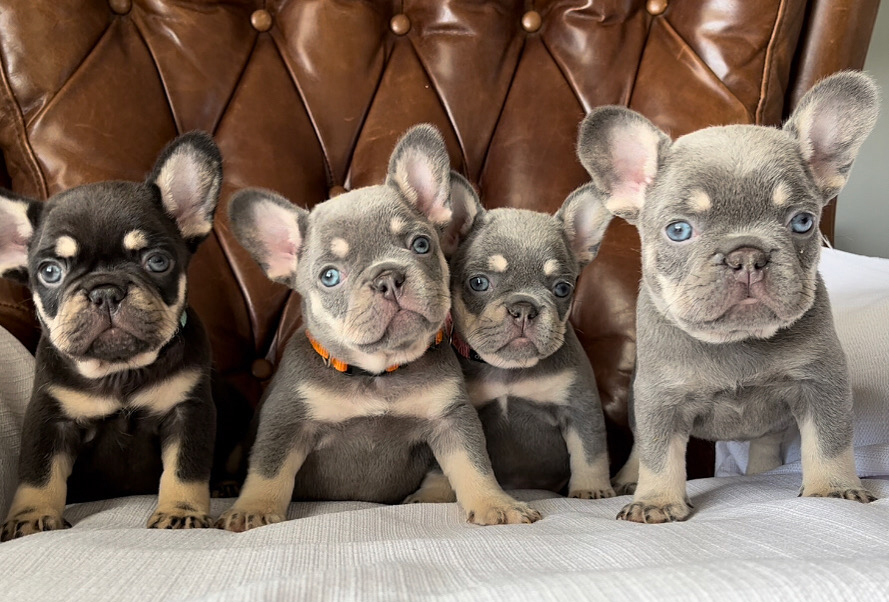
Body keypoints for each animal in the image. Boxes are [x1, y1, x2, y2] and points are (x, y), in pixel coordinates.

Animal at [1, 134, 229, 536]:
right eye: (49, 271)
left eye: (157, 261)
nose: (105, 291)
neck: (118, 370)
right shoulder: (49, 418)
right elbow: (38, 472)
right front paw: (31, 517)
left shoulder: (187, 410)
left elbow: (185, 468)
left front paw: (181, 511)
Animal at [217, 124, 540, 528]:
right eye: (329, 276)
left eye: (421, 244)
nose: (388, 277)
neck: (377, 372)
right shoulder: (286, 420)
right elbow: (268, 468)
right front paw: (254, 509)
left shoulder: (451, 419)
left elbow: (473, 463)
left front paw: (495, 502)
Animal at [406, 176, 612, 500]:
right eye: (478, 283)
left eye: (563, 288)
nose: (524, 307)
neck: (509, 370)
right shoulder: (459, 415)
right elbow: (447, 463)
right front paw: (433, 494)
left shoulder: (580, 407)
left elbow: (590, 452)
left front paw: (591, 489)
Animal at [576, 70, 880, 520]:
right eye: (679, 230)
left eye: (802, 222)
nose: (747, 255)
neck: (736, 341)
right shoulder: (660, 399)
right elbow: (658, 454)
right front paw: (656, 500)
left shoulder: (821, 383)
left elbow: (829, 441)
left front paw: (833, 489)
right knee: (639, 448)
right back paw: (631, 480)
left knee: (767, 440)